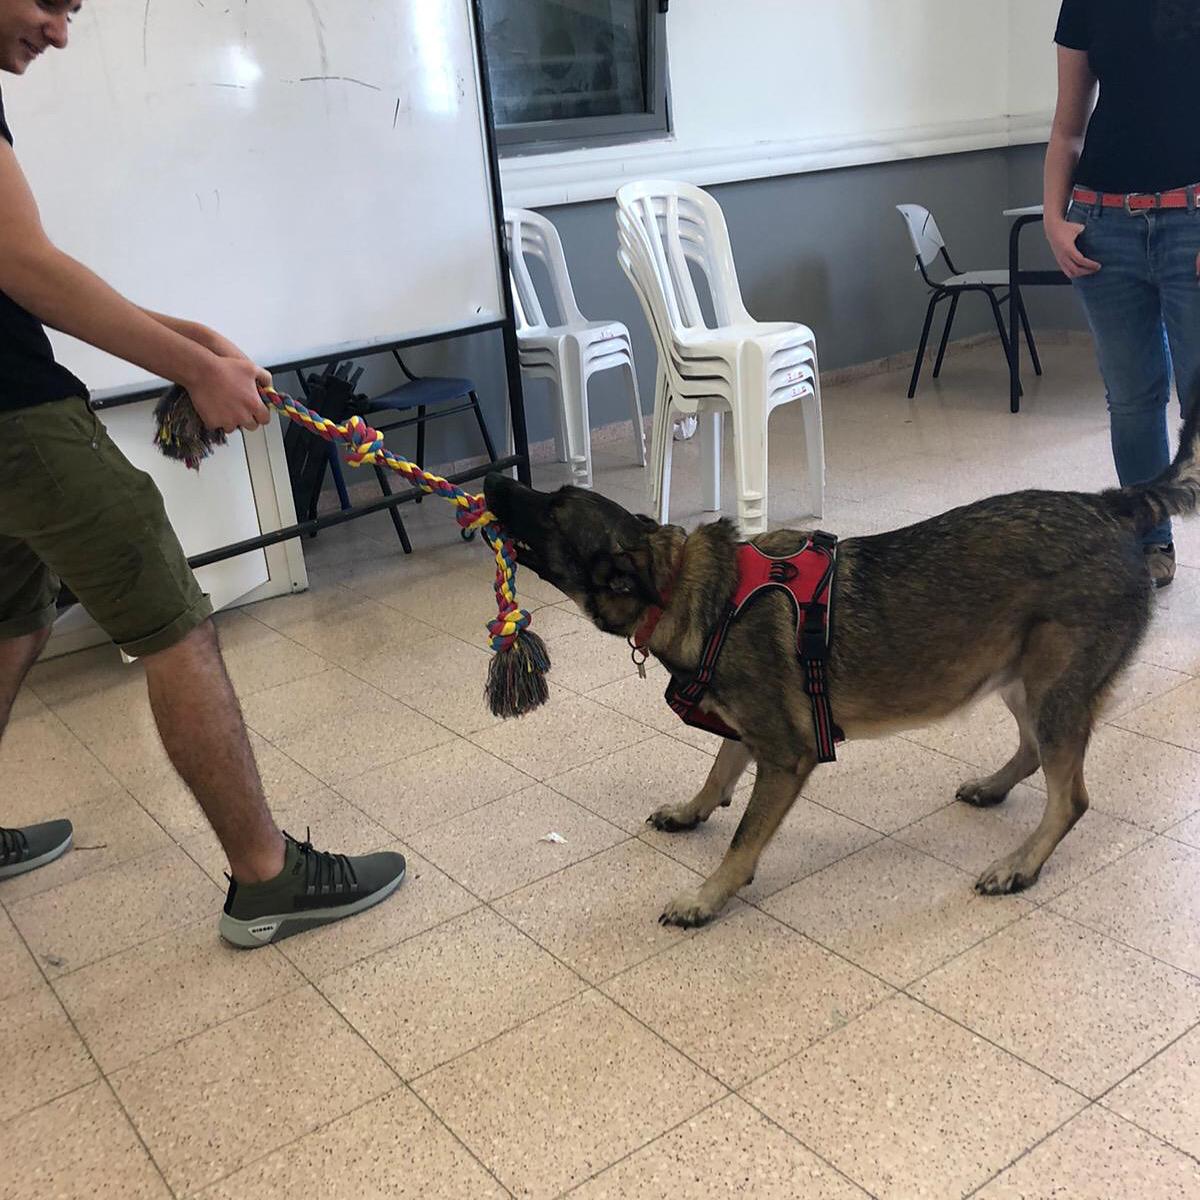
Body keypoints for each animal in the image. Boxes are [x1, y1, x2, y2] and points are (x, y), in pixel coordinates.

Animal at [484, 401, 1200, 928]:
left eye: (552, 506)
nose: (490, 478)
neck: (688, 587)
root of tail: (1109, 503)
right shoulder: (754, 733)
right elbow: (718, 772)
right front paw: (692, 811)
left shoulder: (786, 753)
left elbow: (744, 838)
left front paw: (708, 896)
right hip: (1020, 678)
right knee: (1032, 752)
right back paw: (996, 789)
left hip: (1053, 688)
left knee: (1070, 796)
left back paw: (1021, 864)